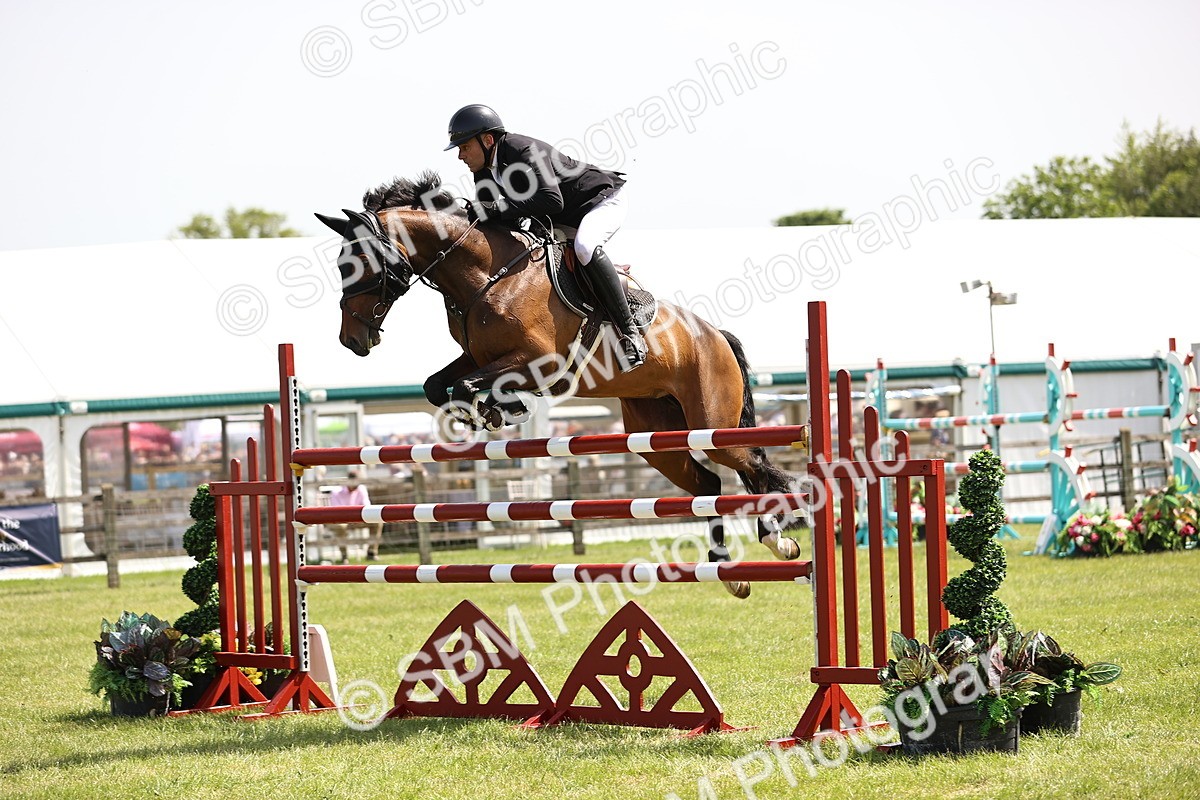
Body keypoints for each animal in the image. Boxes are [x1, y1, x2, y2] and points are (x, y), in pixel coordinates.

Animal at [315, 171, 801, 598]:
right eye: (340, 264)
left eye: (358, 263)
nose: (351, 340)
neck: (487, 274)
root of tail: (714, 333)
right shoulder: (479, 358)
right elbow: (440, 386)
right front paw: (495, 410)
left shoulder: (540, 363)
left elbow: (468, 386)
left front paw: (499, 409)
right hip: (655, 433)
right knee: (709, 484)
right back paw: (729, 571)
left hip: (713, 423)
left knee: (755, 467)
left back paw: (779, 542)